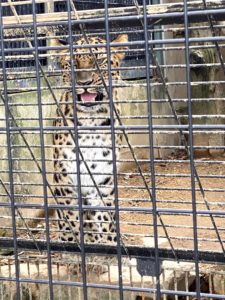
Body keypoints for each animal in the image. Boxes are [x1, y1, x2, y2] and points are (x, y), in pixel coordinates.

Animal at [51, 34, 127, 250]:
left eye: (99, 60)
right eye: (71, 63)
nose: (84, 82)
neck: (91, 123)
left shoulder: (103, 178)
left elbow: (105, 220)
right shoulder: (65, 177)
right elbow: (74, 219)